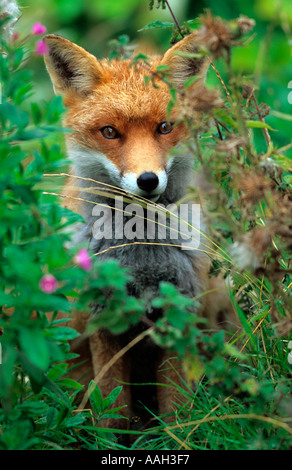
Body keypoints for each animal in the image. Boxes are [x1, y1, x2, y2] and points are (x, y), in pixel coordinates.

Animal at [44, 19, 240, 430]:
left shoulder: (179, 309)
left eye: (165, 127)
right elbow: (112, 410)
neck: (141, 255)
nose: (148, 180)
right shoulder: (103, 317)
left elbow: (176, 407)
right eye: (109, 132)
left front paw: (176, 433)